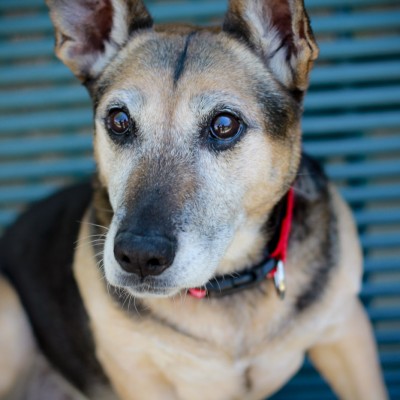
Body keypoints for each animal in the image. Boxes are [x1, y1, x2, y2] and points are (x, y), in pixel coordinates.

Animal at [0, 0, 390, 398]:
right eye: (119, 120)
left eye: (224, 125)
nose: (138, 256)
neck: (227, 283)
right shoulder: (136, 374)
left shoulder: (346, 331)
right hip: (8, 308)